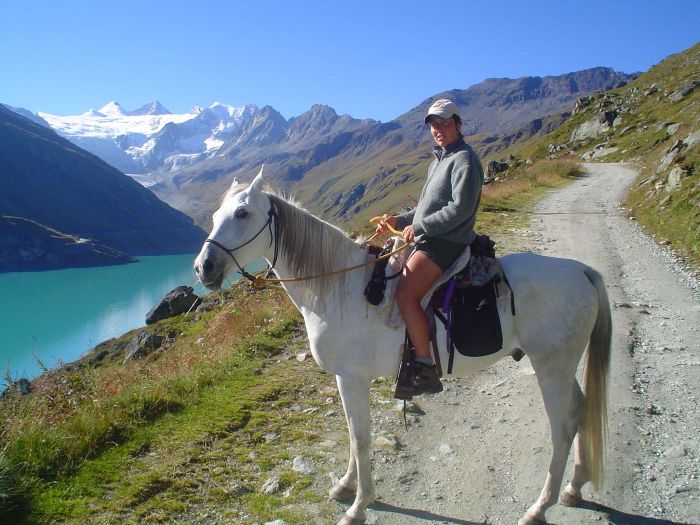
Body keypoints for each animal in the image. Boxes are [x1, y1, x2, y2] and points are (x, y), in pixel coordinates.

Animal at [194, 169, 608, 524]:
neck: (340, 289)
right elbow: (352, 434)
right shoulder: (346, 380)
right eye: (214, 215)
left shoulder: (352, 378)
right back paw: (573, 488)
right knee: (582, 410)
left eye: (243, 213)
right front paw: (345, 486)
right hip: (562, 367)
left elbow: (360, 439)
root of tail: (581, 270)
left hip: (551, 368)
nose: (203, 268)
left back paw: (539, 508)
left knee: (563, 427)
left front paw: (359, 506)